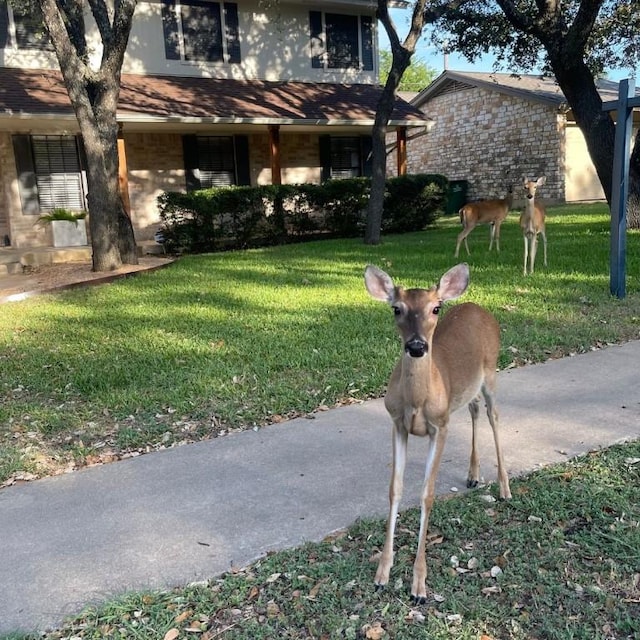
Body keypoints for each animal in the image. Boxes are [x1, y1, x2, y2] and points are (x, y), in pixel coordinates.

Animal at [364, 262, 510, 604]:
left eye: (435, 308)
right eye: (396, 308)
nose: (417, 346)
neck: (418, 401)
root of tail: (477, 307)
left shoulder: (440, 427)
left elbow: (427, 495)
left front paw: (419, 585)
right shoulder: (397, 424)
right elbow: (395, 489)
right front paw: (382, 573)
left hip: (492, 370)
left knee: (494, 414)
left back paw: (504, 487)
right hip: (468, 388)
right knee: (473, 409)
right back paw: (473, 475)